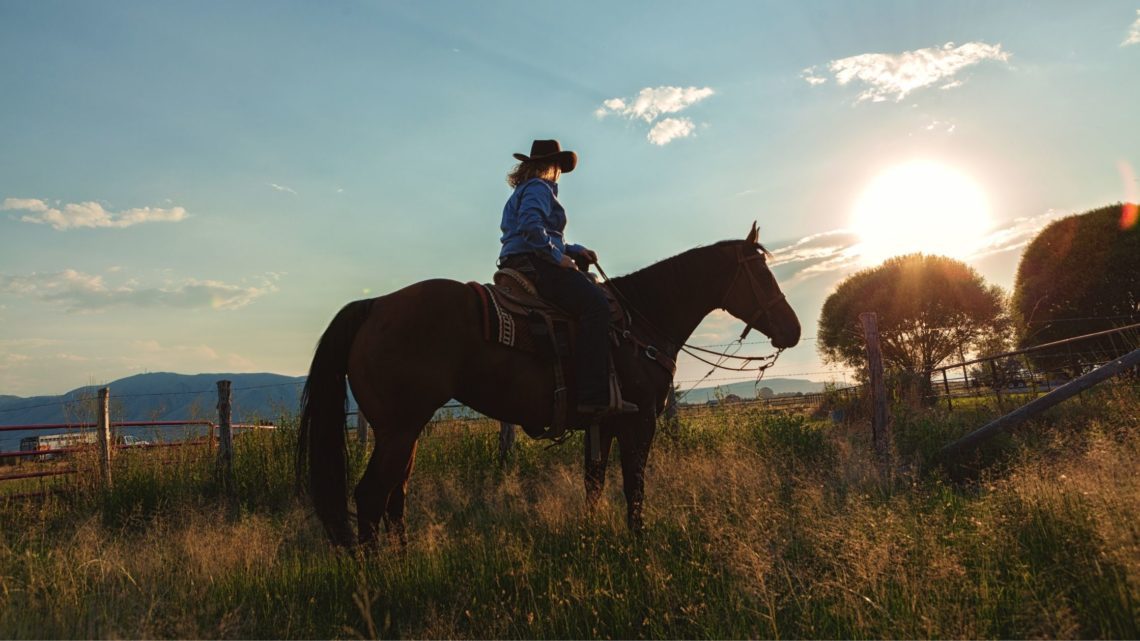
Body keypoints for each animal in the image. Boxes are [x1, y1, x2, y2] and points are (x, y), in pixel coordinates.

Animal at [298, 223, 807, 542]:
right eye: (762, 274)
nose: (794, 329)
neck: (639, 321)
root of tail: (375, 306)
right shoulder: (639, 422)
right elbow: (634, 488)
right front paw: (638, 547)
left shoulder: (602, 425)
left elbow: (594, 484)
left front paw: (592, 537)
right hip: (399, 429)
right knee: (369, 498)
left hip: (404, 431)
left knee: (395, 497)